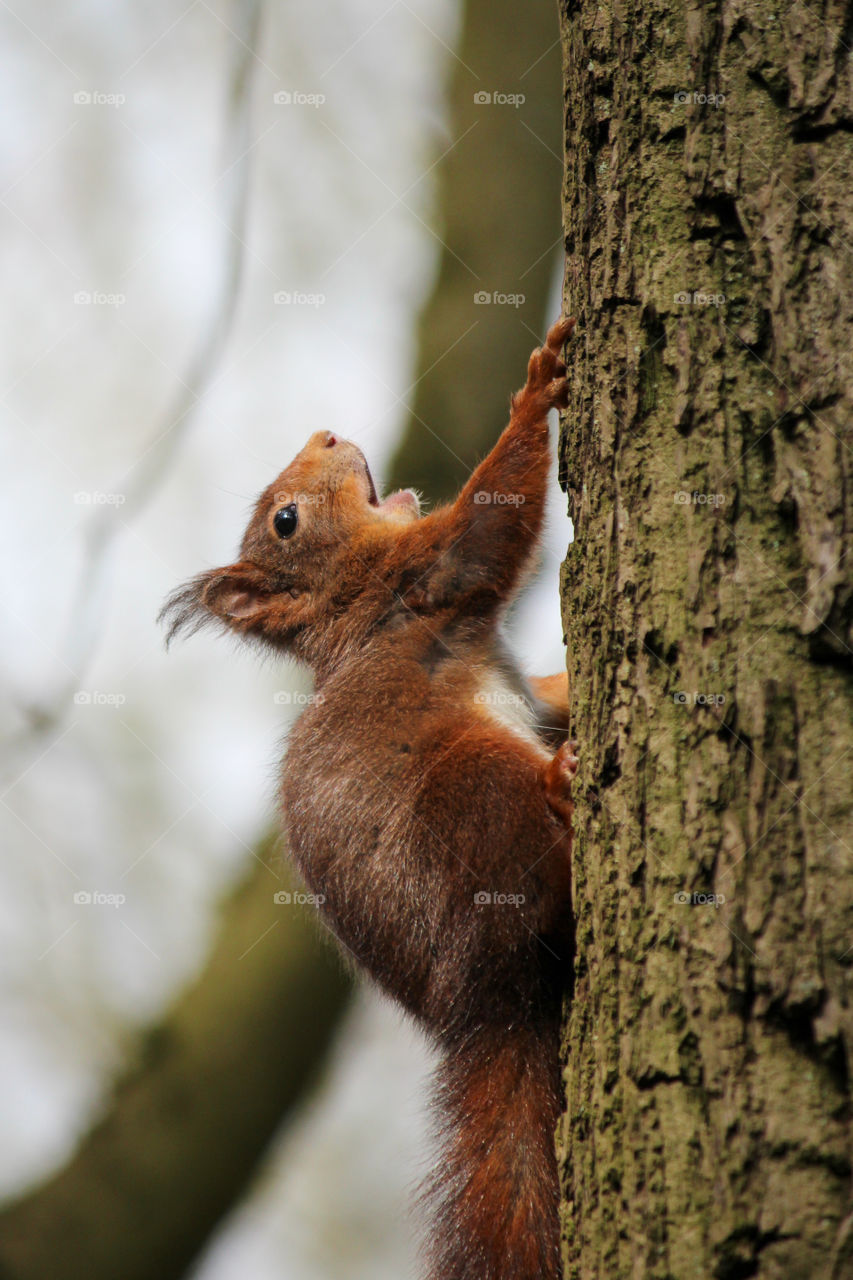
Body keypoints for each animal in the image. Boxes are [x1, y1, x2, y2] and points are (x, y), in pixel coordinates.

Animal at [161, 317, 578, 1280]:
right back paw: (560, 786)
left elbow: (545, 694)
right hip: (469, 795)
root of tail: (488, 998)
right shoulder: (427, 575)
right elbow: (491, 519)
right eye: (286, 519)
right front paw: (536, 389)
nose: (324, 433)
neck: (351, 600)